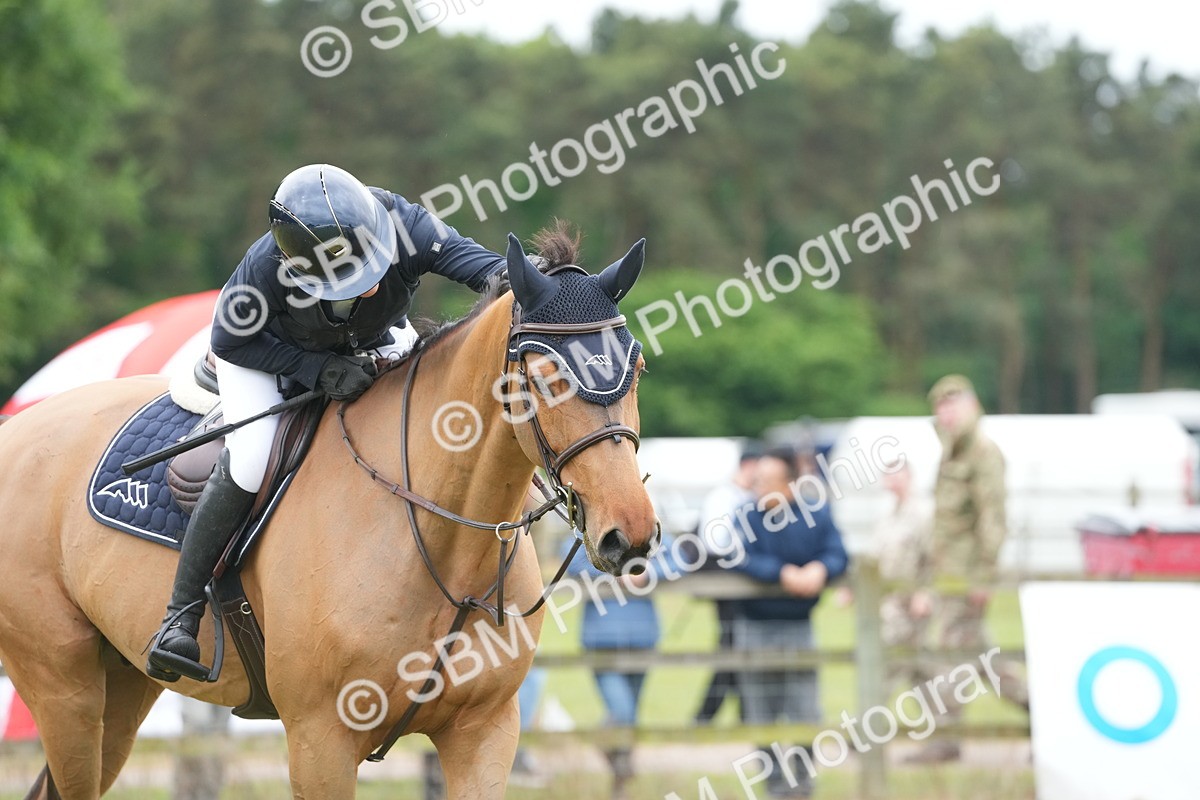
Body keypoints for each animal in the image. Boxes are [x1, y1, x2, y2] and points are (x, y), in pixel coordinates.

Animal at [0, 225, 659, 799]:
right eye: (546, 377)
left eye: (637, 367)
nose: (629, 534)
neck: (437, 539)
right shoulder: (321, 741)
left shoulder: (484, 734)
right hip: (65, 687)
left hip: (124, 685)